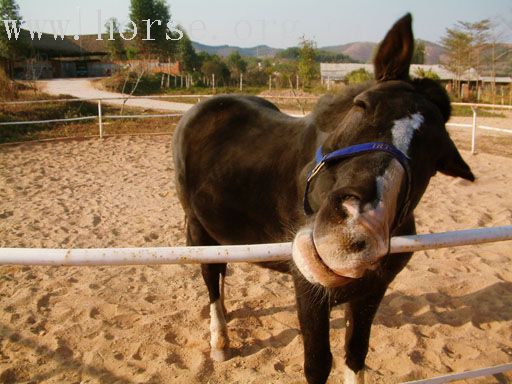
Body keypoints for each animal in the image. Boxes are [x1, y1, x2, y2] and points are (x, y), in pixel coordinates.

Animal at [173, 13, 476, 382]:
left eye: (435, 158)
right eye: (362, 106)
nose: (350, 234)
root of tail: (204, 107)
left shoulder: (371, 293)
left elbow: (356, 352)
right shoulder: (308, 288)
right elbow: (318, 363)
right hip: (197, 228)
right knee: (211, 275)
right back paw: (220, 340)